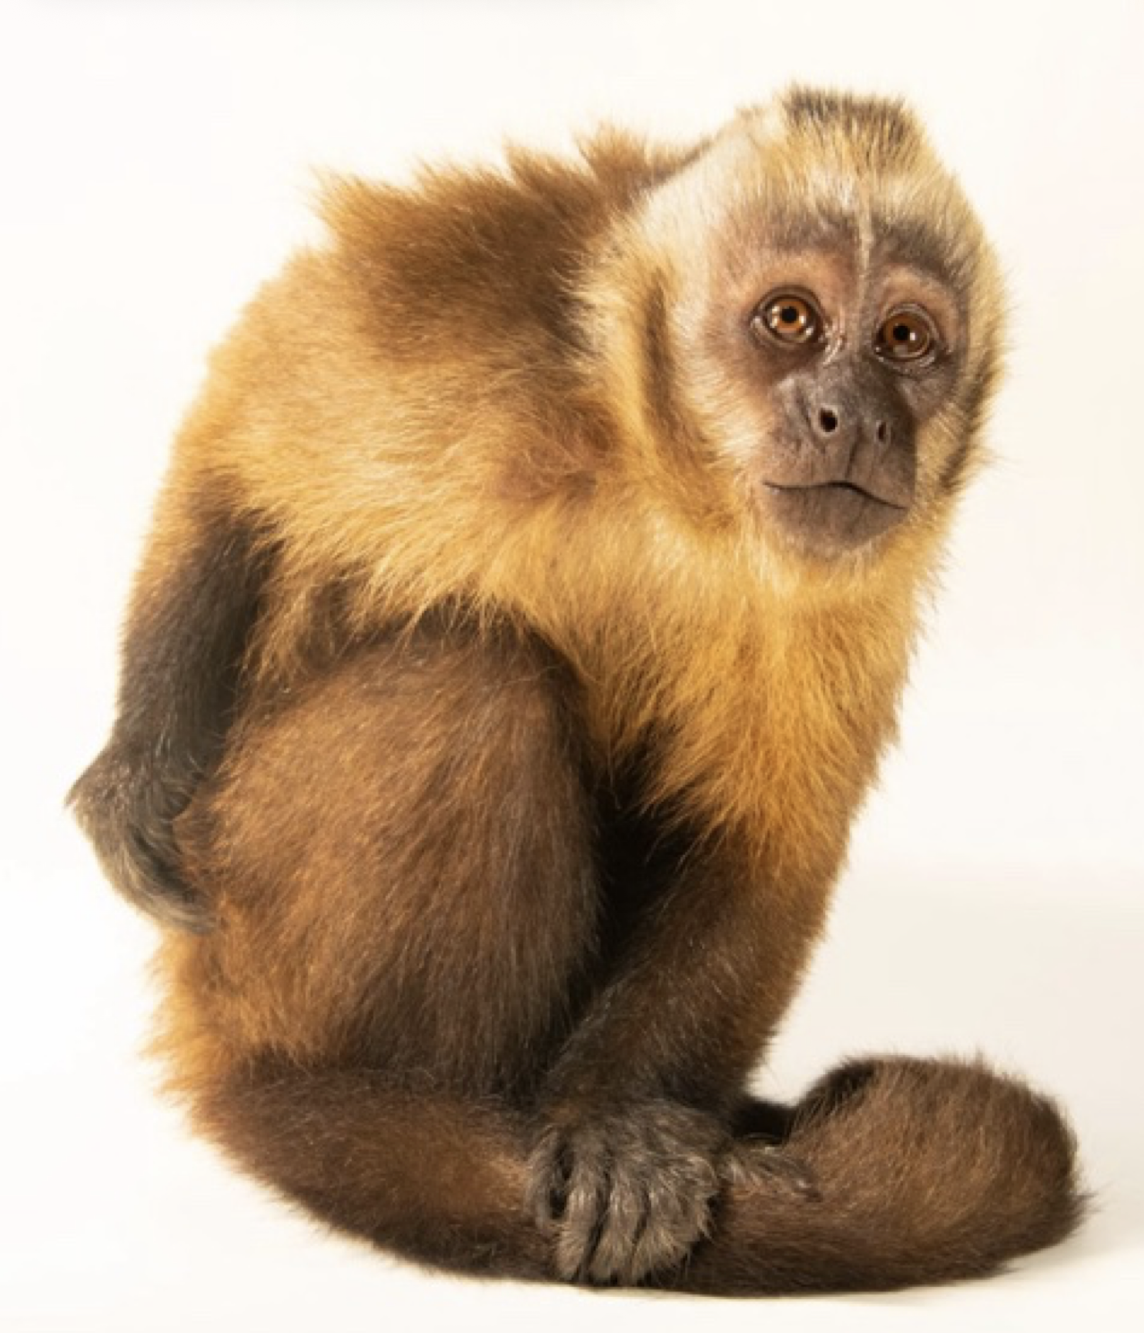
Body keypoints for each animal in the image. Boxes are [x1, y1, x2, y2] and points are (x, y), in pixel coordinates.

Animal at [70, 87, 1083, 1294]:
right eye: (790, 320)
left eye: (905, 339)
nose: (856, 415)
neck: (669, 487)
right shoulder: (478, 319)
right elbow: (248, 428)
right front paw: (138, 757)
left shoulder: (851, 584)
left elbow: (759, 847)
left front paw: (618, 1124)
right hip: (245, 922)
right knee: (475, 684)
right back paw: (370, 1120)